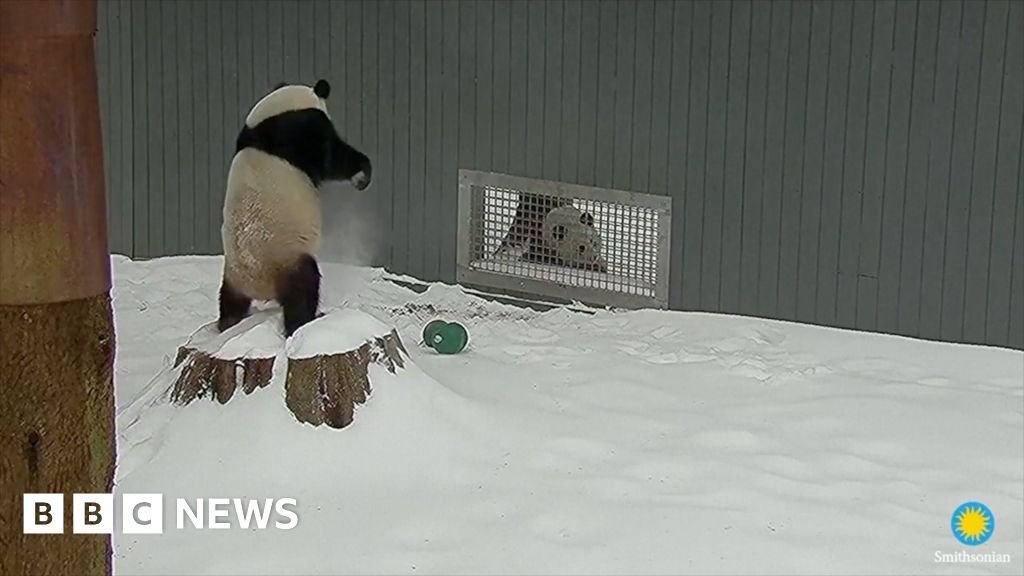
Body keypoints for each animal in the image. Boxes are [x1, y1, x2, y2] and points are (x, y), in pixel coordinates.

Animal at [217, 79, 372, 338]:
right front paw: (361, 175)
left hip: (234, 274)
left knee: (229, 300)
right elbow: (332, 159)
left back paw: (227, 323)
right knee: (303, 288)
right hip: (285, 257)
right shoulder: (305, 131)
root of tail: (258, 287)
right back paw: (304, 322)